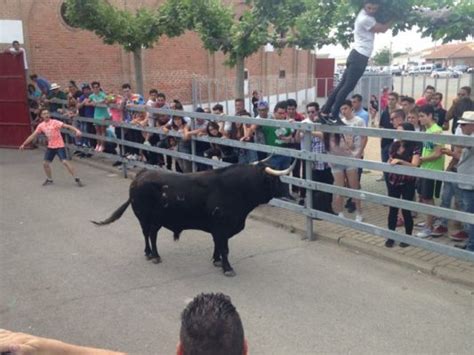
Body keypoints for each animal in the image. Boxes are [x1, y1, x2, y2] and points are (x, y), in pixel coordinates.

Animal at [91, 163, 294, 276]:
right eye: (277, 181)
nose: (291, 194)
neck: (236, 189)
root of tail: (142, 174)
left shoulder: (218, 230)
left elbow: (218, 246)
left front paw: (216, 260)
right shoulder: (222, 228)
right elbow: (224, 248)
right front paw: (227, 268)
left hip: (151, 220)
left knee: (149, 235)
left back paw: (149, 254)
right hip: (147, 218)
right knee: (149, 235)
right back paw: (154, 255)